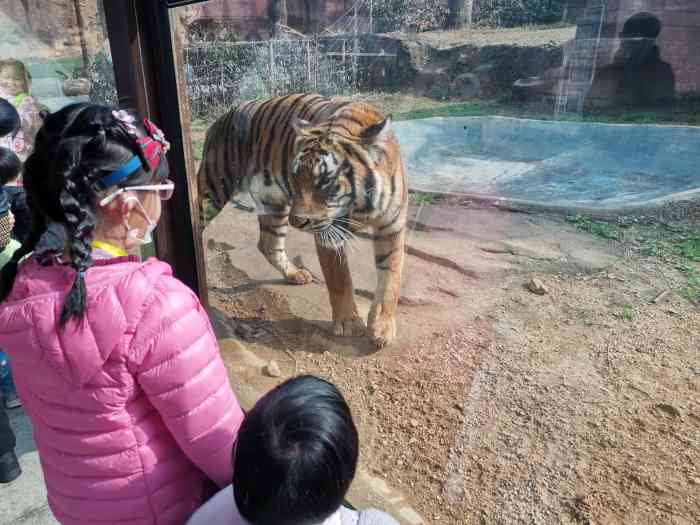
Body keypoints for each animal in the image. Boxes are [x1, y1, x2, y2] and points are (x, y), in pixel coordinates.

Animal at [197, 94, 408, 348]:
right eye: (296, 177)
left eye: (325, 181)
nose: (296, 221)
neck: (361, 208)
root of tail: (222, 117)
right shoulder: (329, 234)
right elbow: (339, 278)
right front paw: (349, 323)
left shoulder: (392, 227)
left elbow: (391, 277)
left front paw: (383, 327)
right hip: (214, 188)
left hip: (274, 204)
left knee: (268, 243)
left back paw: (294, 274)